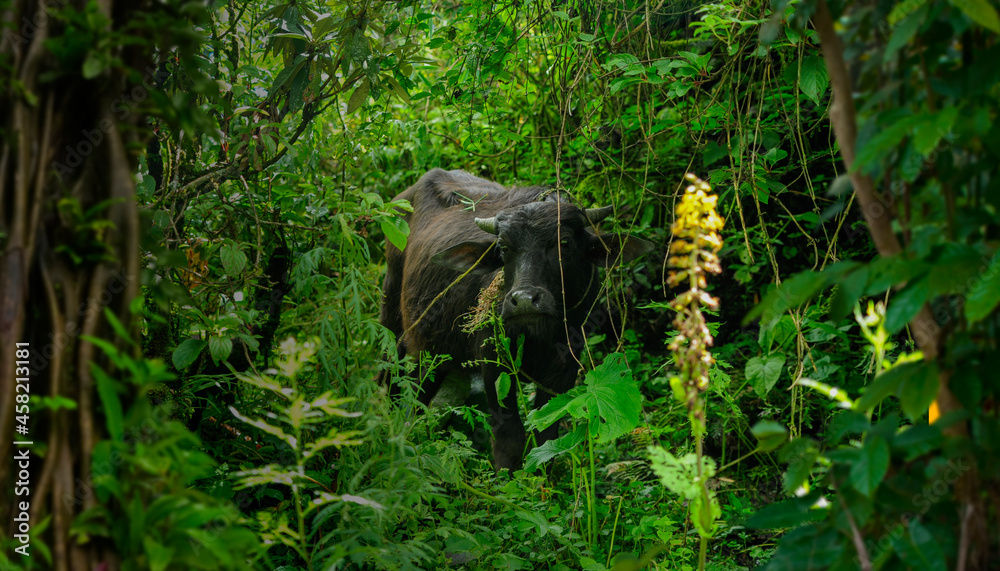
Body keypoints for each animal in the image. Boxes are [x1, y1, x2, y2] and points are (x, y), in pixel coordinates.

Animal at [378, 169, 652, 470]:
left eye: (564, 243)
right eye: (504, 248)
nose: (524, 300)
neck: (538, 334)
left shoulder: (566, 364)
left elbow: (547, 434)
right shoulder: (494, 364)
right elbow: (509, 436)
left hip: (436, 351)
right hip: (392, 316)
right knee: (388, 377)